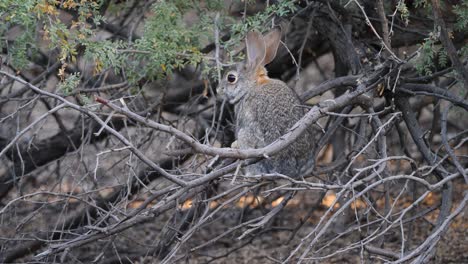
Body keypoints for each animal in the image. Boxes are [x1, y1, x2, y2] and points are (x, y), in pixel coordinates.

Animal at [218, 28, 316, 177]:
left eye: (231, 78)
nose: (218, 90)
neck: (253, 85)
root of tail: (290, 170)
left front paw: (234, 145)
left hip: (247, 138)